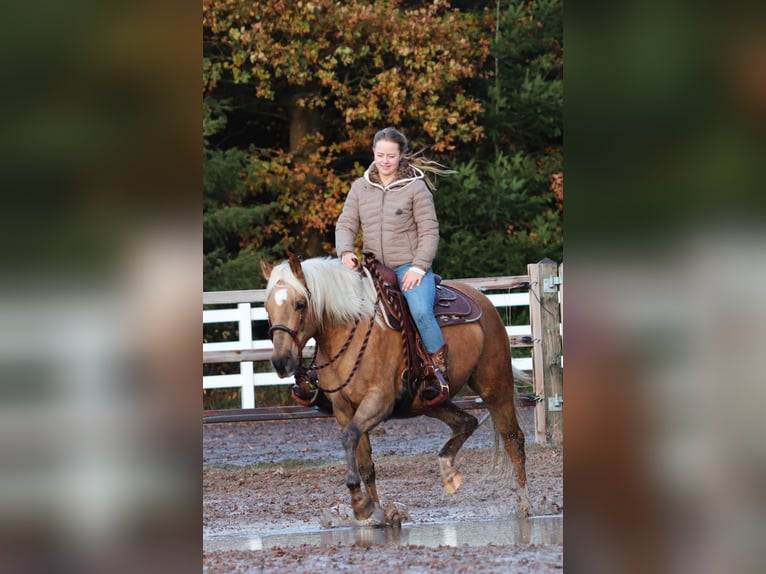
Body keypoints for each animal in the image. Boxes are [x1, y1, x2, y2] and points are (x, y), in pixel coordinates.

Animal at [260, 253, 532, 528]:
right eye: (267, 307)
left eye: (300, 304)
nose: (281, 362)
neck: (348, 330)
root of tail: (482, 300)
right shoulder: (344, 409)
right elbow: (364, 461)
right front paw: (375, 512)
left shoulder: (378, 402)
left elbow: (349, 437)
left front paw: (359, 504)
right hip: (428, 401)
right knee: (467, 421)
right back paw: (448, 470)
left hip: (494, 387)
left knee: (513, 439)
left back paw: (524, 503)